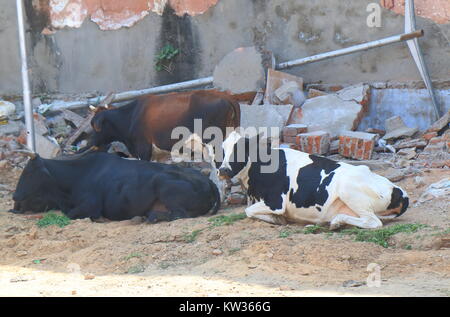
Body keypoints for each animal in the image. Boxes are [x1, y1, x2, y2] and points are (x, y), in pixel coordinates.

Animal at [11, 151, 220, 222]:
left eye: (29, 172)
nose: (15, 197)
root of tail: (208, 181)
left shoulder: (90, 206)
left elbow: (72, 214)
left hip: (165, 187)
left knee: (179, 215)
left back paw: (149, 217)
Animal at [84, 89, 239, 162]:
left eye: (93, 124)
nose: (90, 142)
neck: (130, 117)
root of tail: (226, 96)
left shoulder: (143, 149)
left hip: (212, 141)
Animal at [217, 132, 408, 228]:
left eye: (241, 149)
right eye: (222, 149)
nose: (223, 169)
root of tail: (398, 191)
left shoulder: (276, 202)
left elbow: (248, 211)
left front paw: (277, 219)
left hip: (349, 190)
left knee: (374, 222)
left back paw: (336, 221)